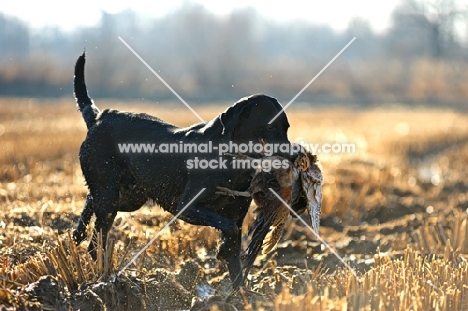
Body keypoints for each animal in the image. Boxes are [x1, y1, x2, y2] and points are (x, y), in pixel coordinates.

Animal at [72, 53, 290, 288]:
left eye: (286, 127)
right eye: (270, 126)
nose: (292, 155)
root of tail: (98, 117)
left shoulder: (237, 216)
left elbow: (236, 261)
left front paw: (239, 293)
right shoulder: (186, 207)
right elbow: (228, 228)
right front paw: (223, 252)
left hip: (130, 197)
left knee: (91, 201)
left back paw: (78, 235)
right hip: (110, 195)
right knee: (96, 240)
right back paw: (105, 276)